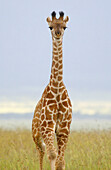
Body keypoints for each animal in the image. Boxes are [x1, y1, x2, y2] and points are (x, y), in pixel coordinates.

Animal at [32, 11, 72, 169]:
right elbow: (52, 155)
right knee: (41, 152)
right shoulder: (47, 126)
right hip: (36, 135)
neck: (57, 88)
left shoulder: (63, 128)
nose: (57, 33)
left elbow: (61, 160)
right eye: (50, 27)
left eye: (65, 27)